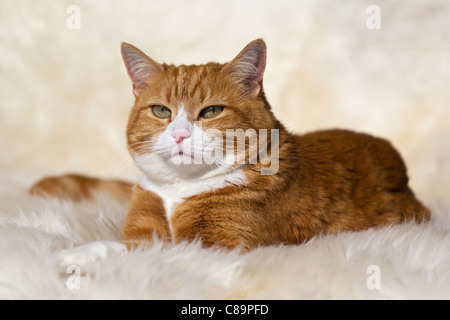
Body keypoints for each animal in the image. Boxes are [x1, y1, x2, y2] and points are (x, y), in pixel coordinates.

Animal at [29, 38, 430, 251]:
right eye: (161, 111)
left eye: (211, 111)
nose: (179, 134)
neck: (179, 191)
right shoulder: (145, 220)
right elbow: (138, 240)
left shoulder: (217, 243)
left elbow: (136, 250)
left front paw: (82, 256)